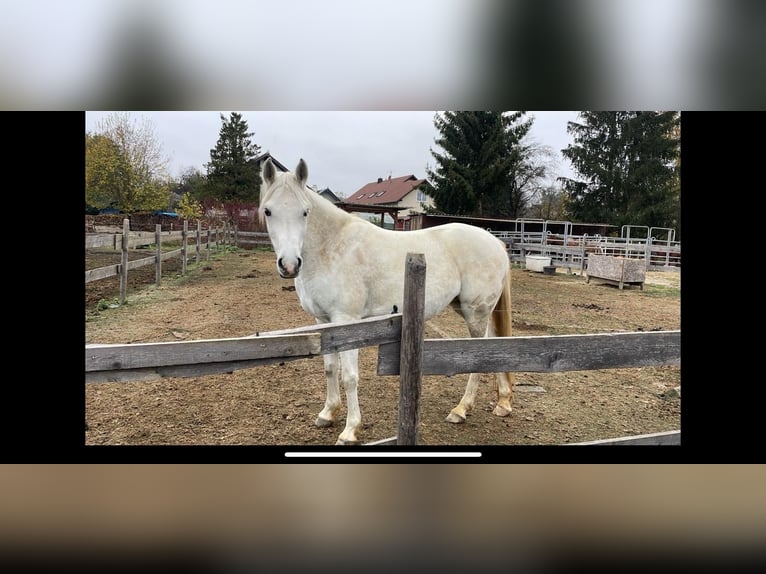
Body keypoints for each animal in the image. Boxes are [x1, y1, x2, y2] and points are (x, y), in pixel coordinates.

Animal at [258, 160, 516, 448]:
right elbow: (330, 368)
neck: (331, 248)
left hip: (475, 312)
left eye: (305, 212)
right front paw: (327, 413)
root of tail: (496, 242)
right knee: (494, 345)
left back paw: (460, 410)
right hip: (476, 311)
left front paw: (350, 430)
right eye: (268, 211)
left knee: (478, 355)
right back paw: (503, 403)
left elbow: (349, 377)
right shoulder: (323, 321)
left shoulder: (347, 321)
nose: (290, 265)